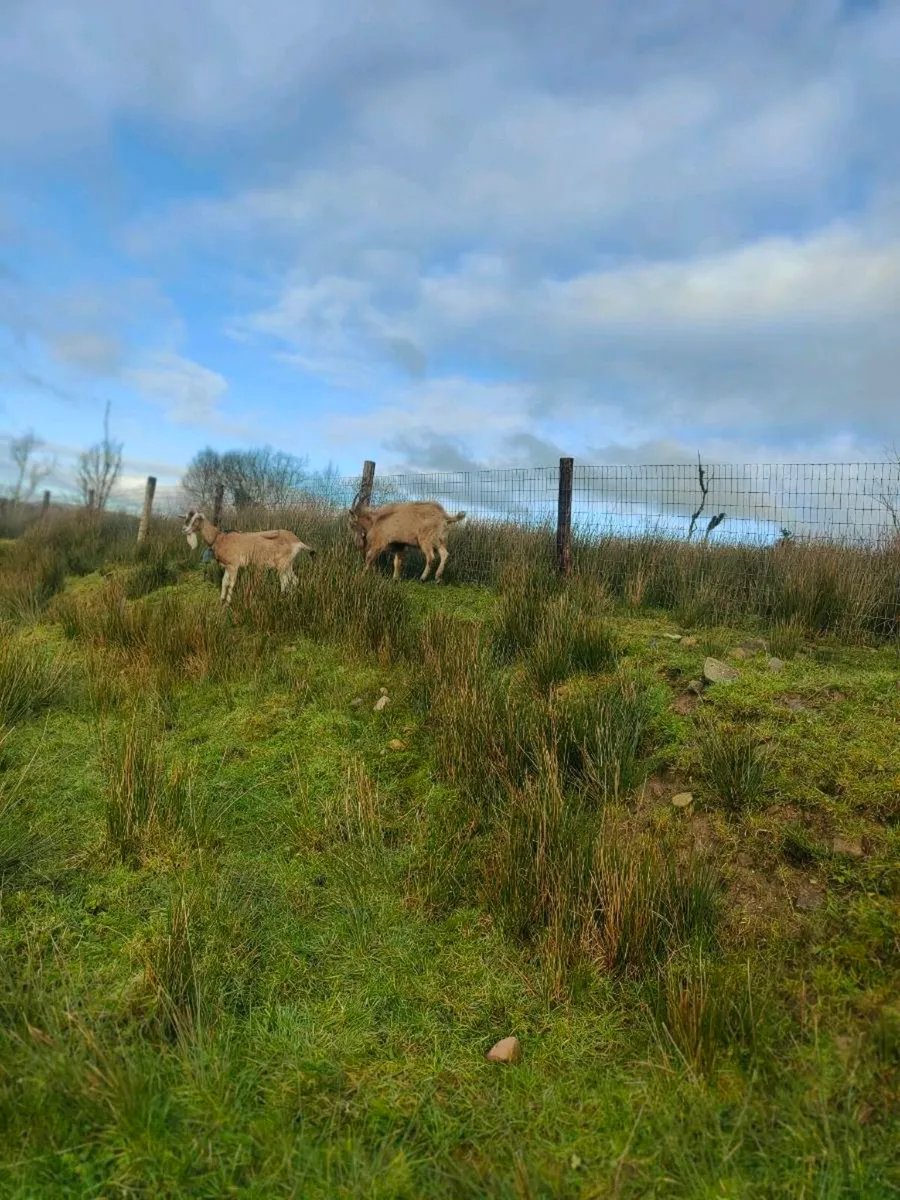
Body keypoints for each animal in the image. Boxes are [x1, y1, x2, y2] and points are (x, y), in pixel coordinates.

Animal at [182, 510, 315, 604]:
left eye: (196, 520)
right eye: (187, 519)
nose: (185, 530)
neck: (219, 537)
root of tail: (297, 541)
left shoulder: (234, 565)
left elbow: (231, 584)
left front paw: (228, 604)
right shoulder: (227, 566)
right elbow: (224, 582)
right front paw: (221, 601)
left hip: (282, 564)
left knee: (285, 582)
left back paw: (282, 599)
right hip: (288, 564)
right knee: (294, 580)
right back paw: (291, 598)